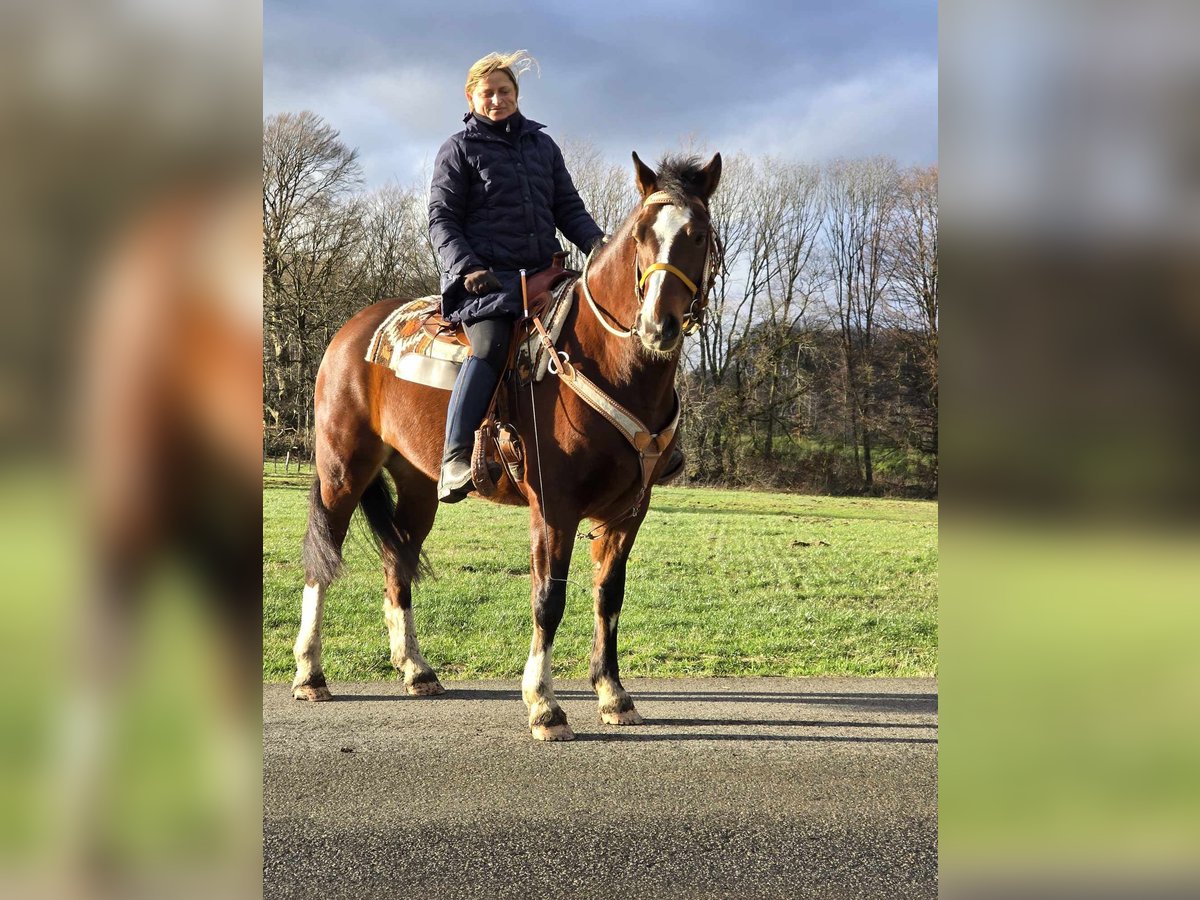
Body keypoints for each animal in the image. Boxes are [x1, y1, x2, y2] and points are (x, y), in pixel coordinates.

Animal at [290, 153, 720, 739]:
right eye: (641, 236)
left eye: (698, 235)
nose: (659, 325)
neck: (606, 363)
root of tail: (353, 330)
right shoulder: (554, 507)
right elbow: (548, 597)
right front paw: (544, 704)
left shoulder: (629, 511)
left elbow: (609, 594)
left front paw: (613, 694)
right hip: (342, 470)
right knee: (323, 559)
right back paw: (310, 673)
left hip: (418, 485)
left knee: (397, 561)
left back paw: (417, 669)